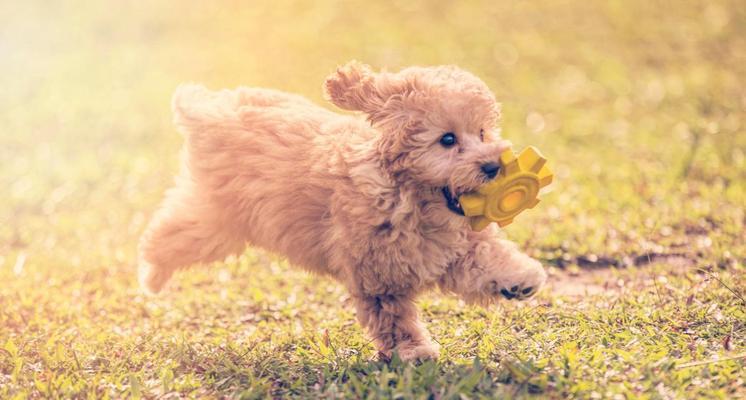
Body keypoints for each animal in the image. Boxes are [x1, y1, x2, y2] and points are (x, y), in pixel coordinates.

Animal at [138, 61, 548, 362]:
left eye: (482, 133)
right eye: (447, 139)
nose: (494, 166)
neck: (410, 198)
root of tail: (209, 109)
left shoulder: (453, 245)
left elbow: (485, 256)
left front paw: (521, 277)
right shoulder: (379, 275)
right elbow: (395, 318)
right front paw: (413, 352)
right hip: (217, 220)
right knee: (168, 235)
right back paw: (150, 275)